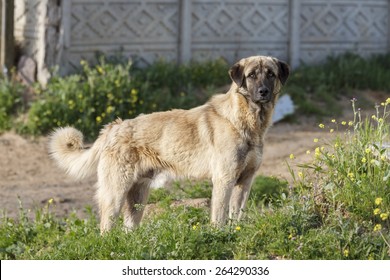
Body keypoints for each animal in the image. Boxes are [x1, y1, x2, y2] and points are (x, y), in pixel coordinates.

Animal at [48, 55, 288, 232]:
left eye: (270, 74)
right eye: (251, 75)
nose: (263, 92)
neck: (244, 120)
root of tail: (114, 127)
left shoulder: (245, 181)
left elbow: (236, 215)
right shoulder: (224, 179)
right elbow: (219, 216)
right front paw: (220, 235)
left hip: (138, 197)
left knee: (128, 228)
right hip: (115, 192)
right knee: (106, 227)